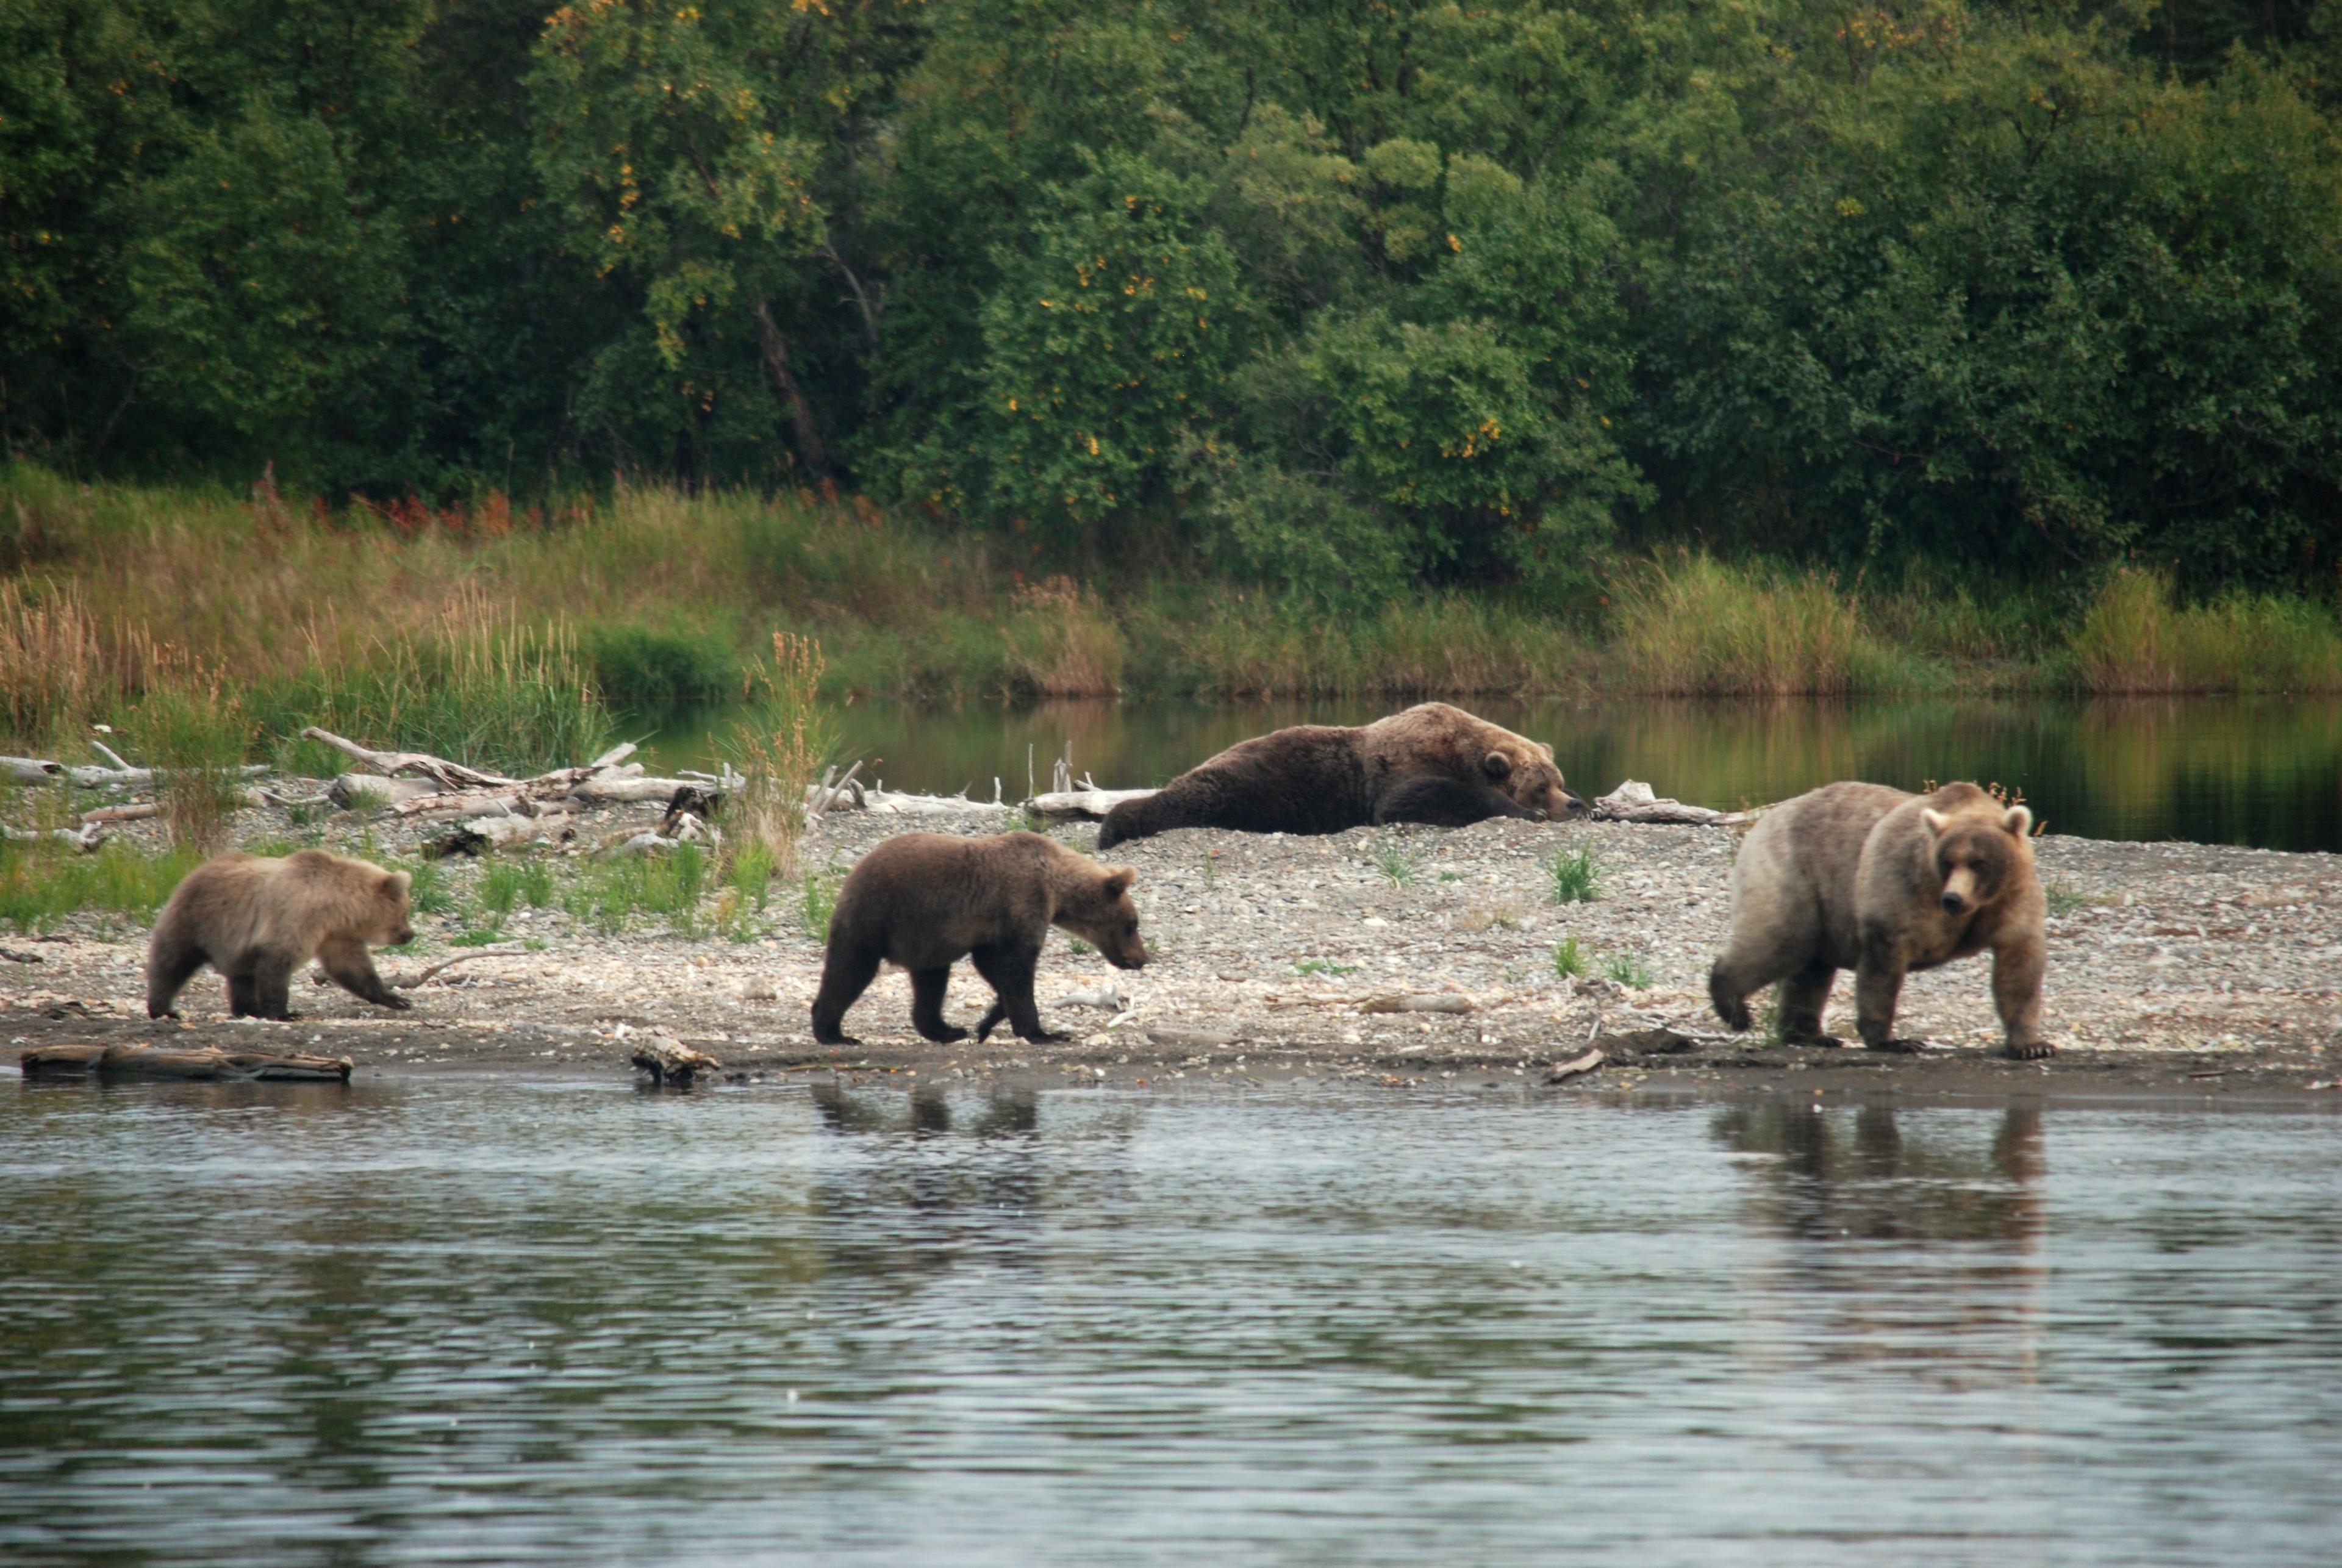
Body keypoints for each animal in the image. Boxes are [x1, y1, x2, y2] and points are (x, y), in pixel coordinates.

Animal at [148, 851, 419, 1025]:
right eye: (404, 912)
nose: (410, 934)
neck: (334, 908)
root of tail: (194, 870)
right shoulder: (294, 917)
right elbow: (277, 964)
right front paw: (285, 1013)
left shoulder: (336, 935)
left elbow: (352, 968)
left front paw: (397, 999)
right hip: (197, 916)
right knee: (173, 961)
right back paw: (164, 1009)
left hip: (232, 942)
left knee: (242, 975)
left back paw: (248, 1009)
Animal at [815, 828, 1152, 1048]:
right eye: (1132, 924)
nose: (1142, 959)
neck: (1056, 888)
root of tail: (854, 872)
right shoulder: (1023, 902)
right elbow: (1017, 969)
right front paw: (1045, 1033)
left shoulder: (993, 930)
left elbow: (996, 969)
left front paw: (986, 1023)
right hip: (877, 914)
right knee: (851, 969)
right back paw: (834, 1033)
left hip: (926, 937)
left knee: (931, 980)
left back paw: (947, 1030)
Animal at [1096, 702, 1592, 847]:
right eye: (1540, 786)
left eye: (1558, 779)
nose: (1571, 803)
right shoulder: (1405, 767)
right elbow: (1417, 797)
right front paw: (1524, 812)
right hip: (1248, 785)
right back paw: (1114, 825)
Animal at [1705, 781, 2051, 1062]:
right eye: (1947, 861)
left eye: (1980, 863)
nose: (1953, 899)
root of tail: (1768, 817)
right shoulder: (1903, 889)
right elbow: (1882, 967)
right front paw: (1894, 1041)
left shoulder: (2013, 900)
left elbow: (2018, 969)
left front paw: (2031, 1045)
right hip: (1795, 872)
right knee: (1781, 941)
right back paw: (1735, 1009)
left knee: (1810, 969)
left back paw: (1809, 1034)